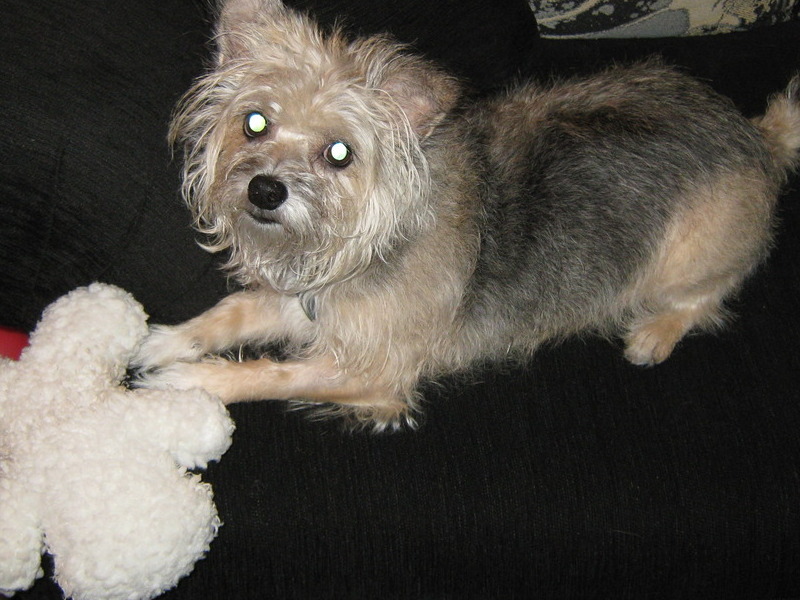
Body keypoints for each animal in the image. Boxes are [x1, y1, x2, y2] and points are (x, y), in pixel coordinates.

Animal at [134, 0, 800, 432]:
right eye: (255, 122)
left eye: (340, 153)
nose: (265, 191)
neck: (370, 245)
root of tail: (756, 135)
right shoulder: (301, 302)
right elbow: (231, 311)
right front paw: (165, 341)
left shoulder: (376, 373)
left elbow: (273, 374)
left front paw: (193, 383)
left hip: (687, 257)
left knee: (709, 295)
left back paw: (653, 333)